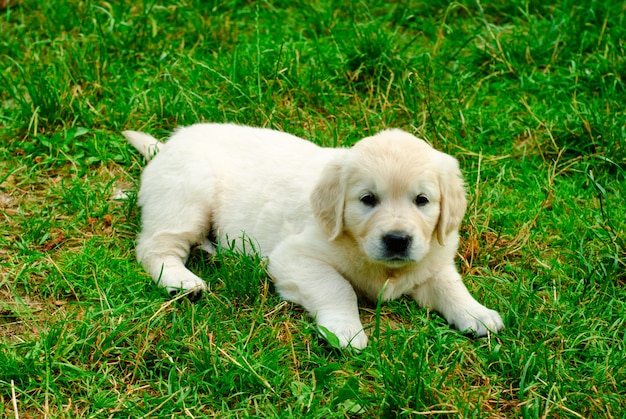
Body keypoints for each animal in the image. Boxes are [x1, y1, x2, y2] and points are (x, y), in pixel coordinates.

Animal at [123, 123, 502, 350]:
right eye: (368, 199)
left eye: (422, 200)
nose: (397, 240)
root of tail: (168, 144)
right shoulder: (295, 258)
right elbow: (337, 286)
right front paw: (346, 331)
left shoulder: (433, 256)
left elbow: (449, 284)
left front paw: (477, 314)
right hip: (186, 197)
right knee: (155, 247)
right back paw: (182, 282)